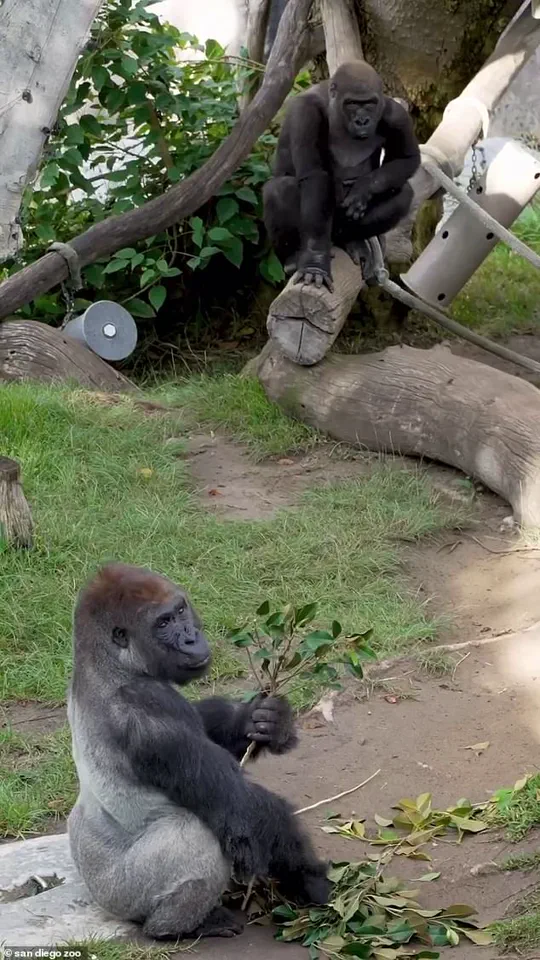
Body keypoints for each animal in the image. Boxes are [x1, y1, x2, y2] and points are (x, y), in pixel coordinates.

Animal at [66, 563, 330, 940]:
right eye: (163, 623)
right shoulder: (149, 704)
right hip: (122, 894)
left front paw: (263, 720)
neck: (107, 664)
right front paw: (309, 878)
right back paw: (178, 927)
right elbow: (241, 809)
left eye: (180, 611)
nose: (191, 637)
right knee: (196, 836)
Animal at [263, 60, 421, 291]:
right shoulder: (305, 112)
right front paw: (315, 263)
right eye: (352, 103)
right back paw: (294, 257)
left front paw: (364, 188)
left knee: (403, 194)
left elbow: (407, 158)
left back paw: (352, 241)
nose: (363, 120)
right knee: (280, 190)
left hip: (338, 228)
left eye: (370, 103)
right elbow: (316, 177)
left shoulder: (396, 115)